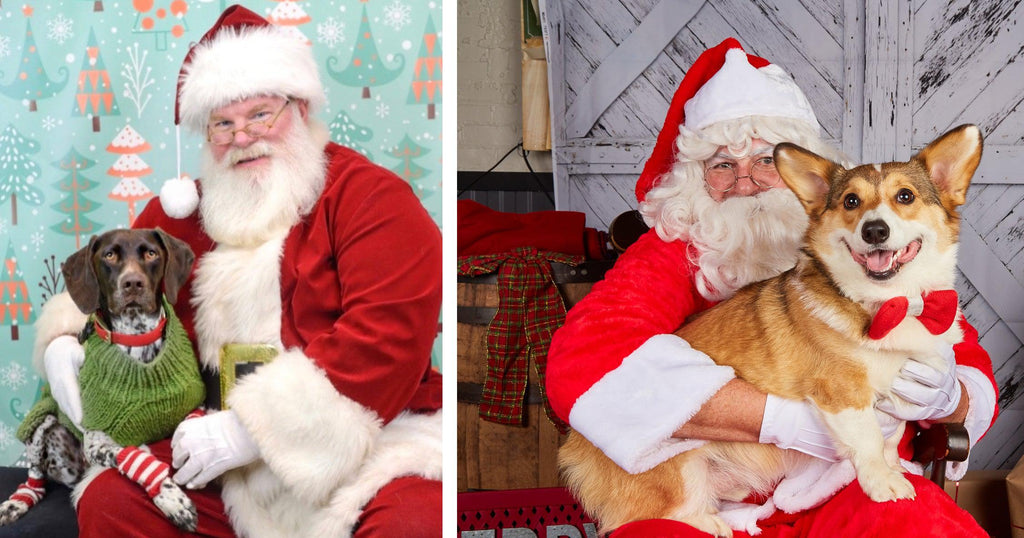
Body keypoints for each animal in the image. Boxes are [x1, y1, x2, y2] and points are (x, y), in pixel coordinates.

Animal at [0, 226, 201, 528]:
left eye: (151, 253)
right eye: (109, 255)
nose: (133, 283)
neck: (137, 338)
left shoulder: (192, 409)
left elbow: (192, 432)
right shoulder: (96, 442)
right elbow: (128, 455)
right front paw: (170, 497)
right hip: (44, 421)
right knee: (35, 473)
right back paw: (18, 501)